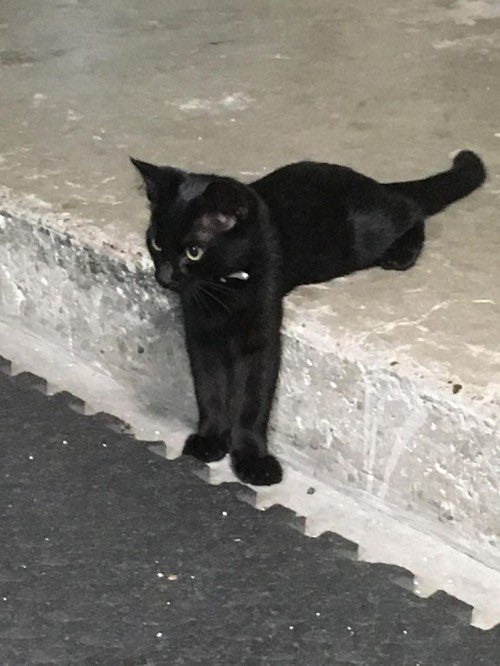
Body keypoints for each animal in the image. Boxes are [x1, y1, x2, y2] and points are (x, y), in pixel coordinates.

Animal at [132, 150, 486, 485]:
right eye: (157, 242)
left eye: (194, 252)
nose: (164, 276)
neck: (222, 290)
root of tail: (371, 182)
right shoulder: (200, 334)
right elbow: (209, 389)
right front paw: (209, 439)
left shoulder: (262, 339)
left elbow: (252, 401)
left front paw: (253, 460)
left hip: (367, 235)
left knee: (411, 208)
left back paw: (401, 253)